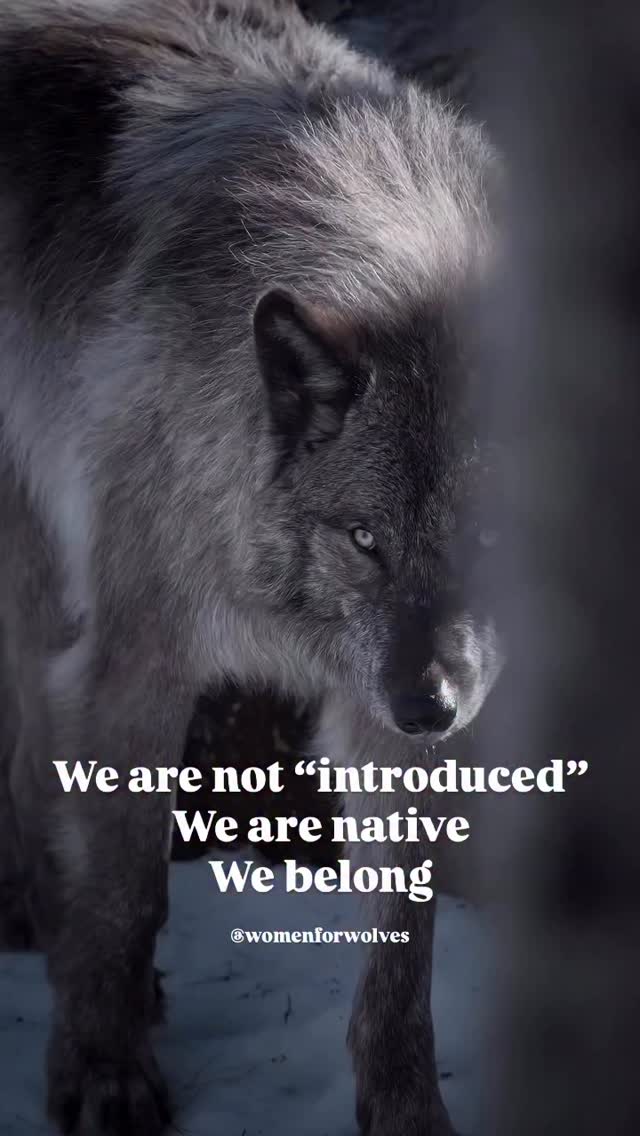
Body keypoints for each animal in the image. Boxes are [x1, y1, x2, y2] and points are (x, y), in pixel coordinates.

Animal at [0, 1, 501, 1133]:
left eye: (493, 542)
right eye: (366, 539)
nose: (430, 706)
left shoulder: (384, 716)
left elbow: (401, 954)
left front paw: (406, 1109)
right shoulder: (133, 661)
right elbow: (129, 887)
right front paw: (104, 1072)